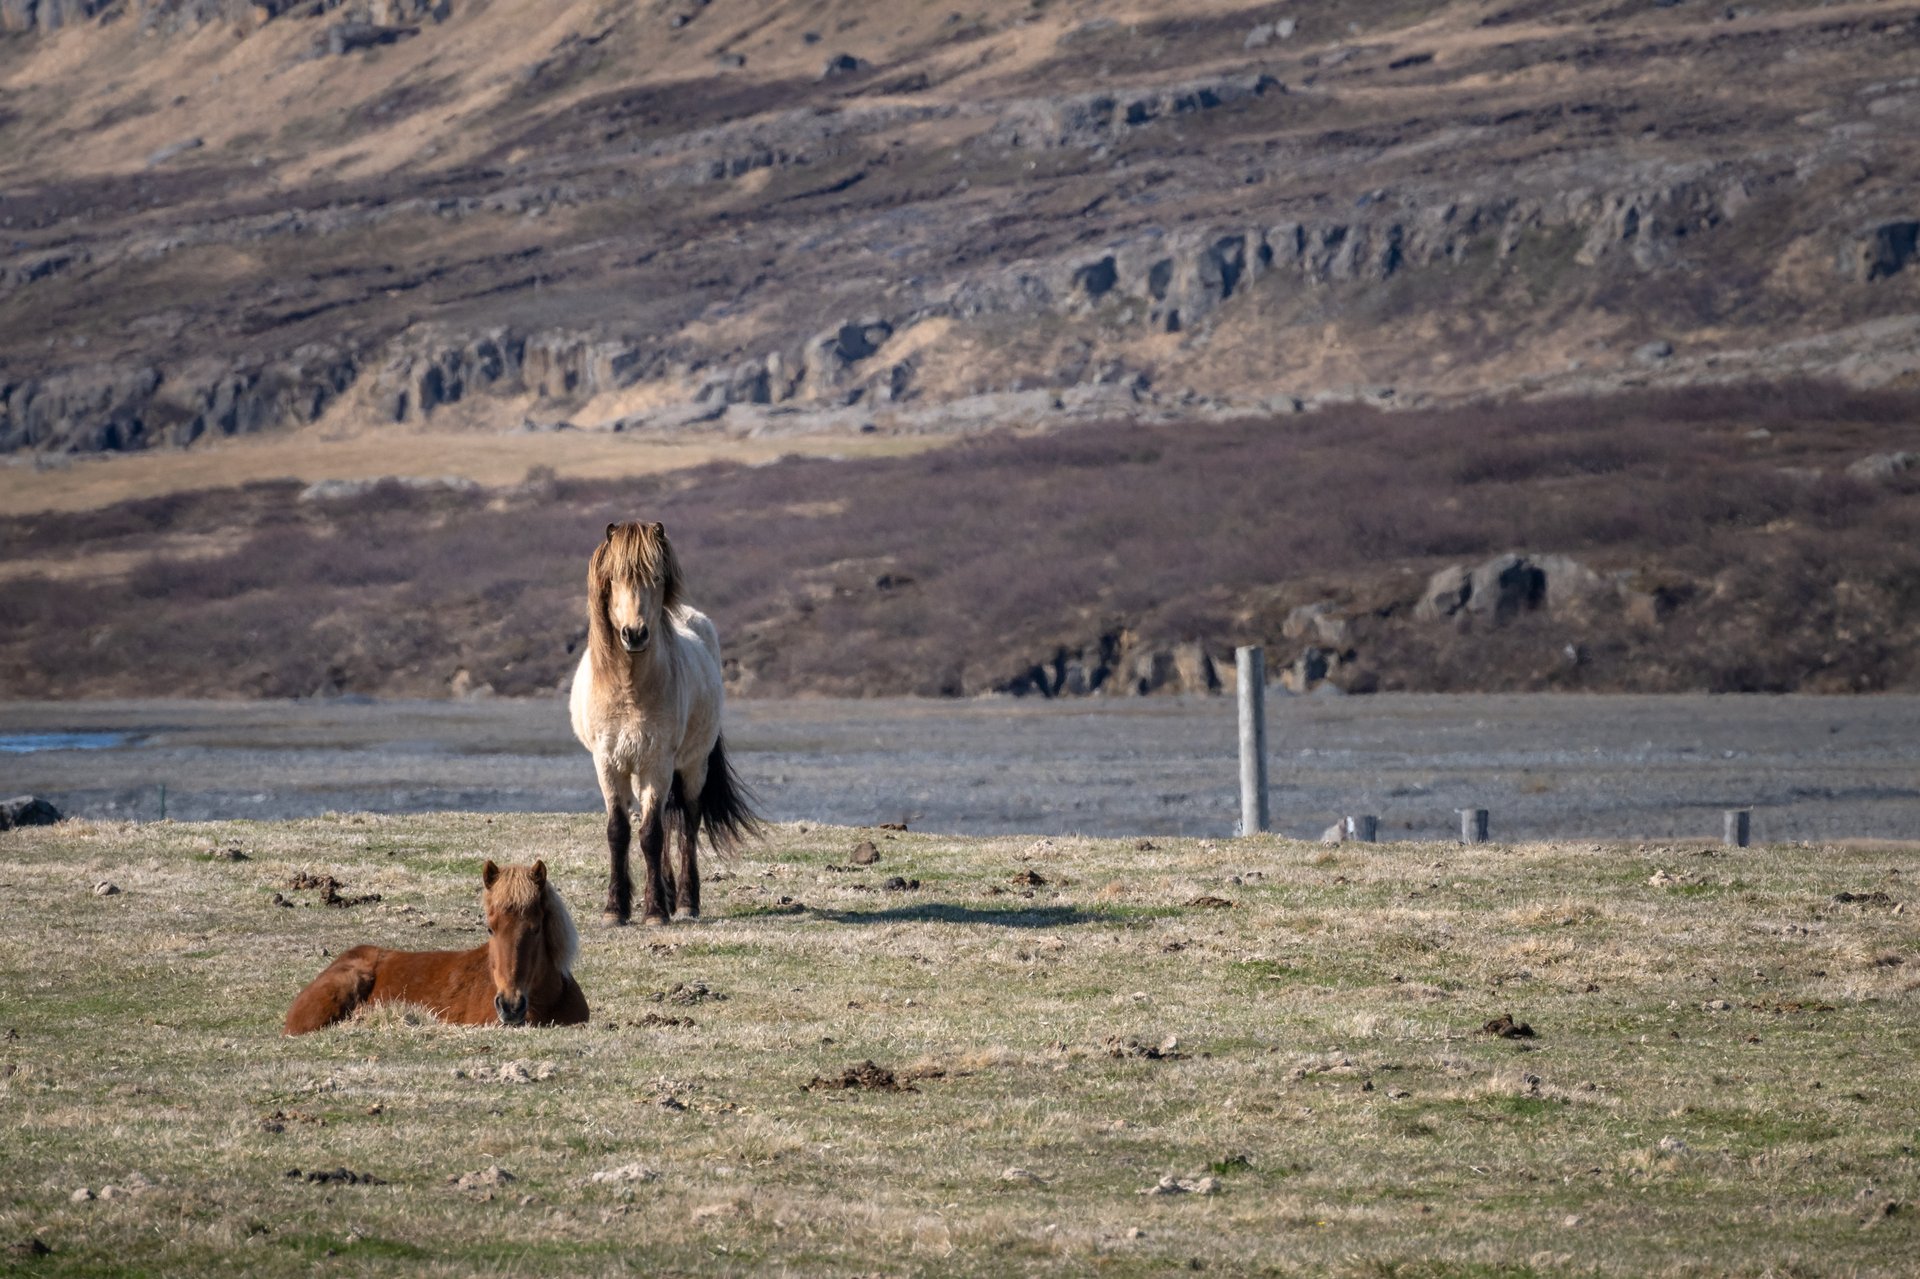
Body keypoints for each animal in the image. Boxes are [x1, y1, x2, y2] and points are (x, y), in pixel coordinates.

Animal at [569, 520, 759, 926]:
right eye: (614, 577)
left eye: (656, 577)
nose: (634, 634)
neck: (629, 689)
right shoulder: (607, 763)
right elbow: (619, 831)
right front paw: (615, 909)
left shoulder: (657, 763)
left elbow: (652, 835)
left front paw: (655, 910)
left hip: (691, 766)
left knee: (686, 822)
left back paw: (685, 903)